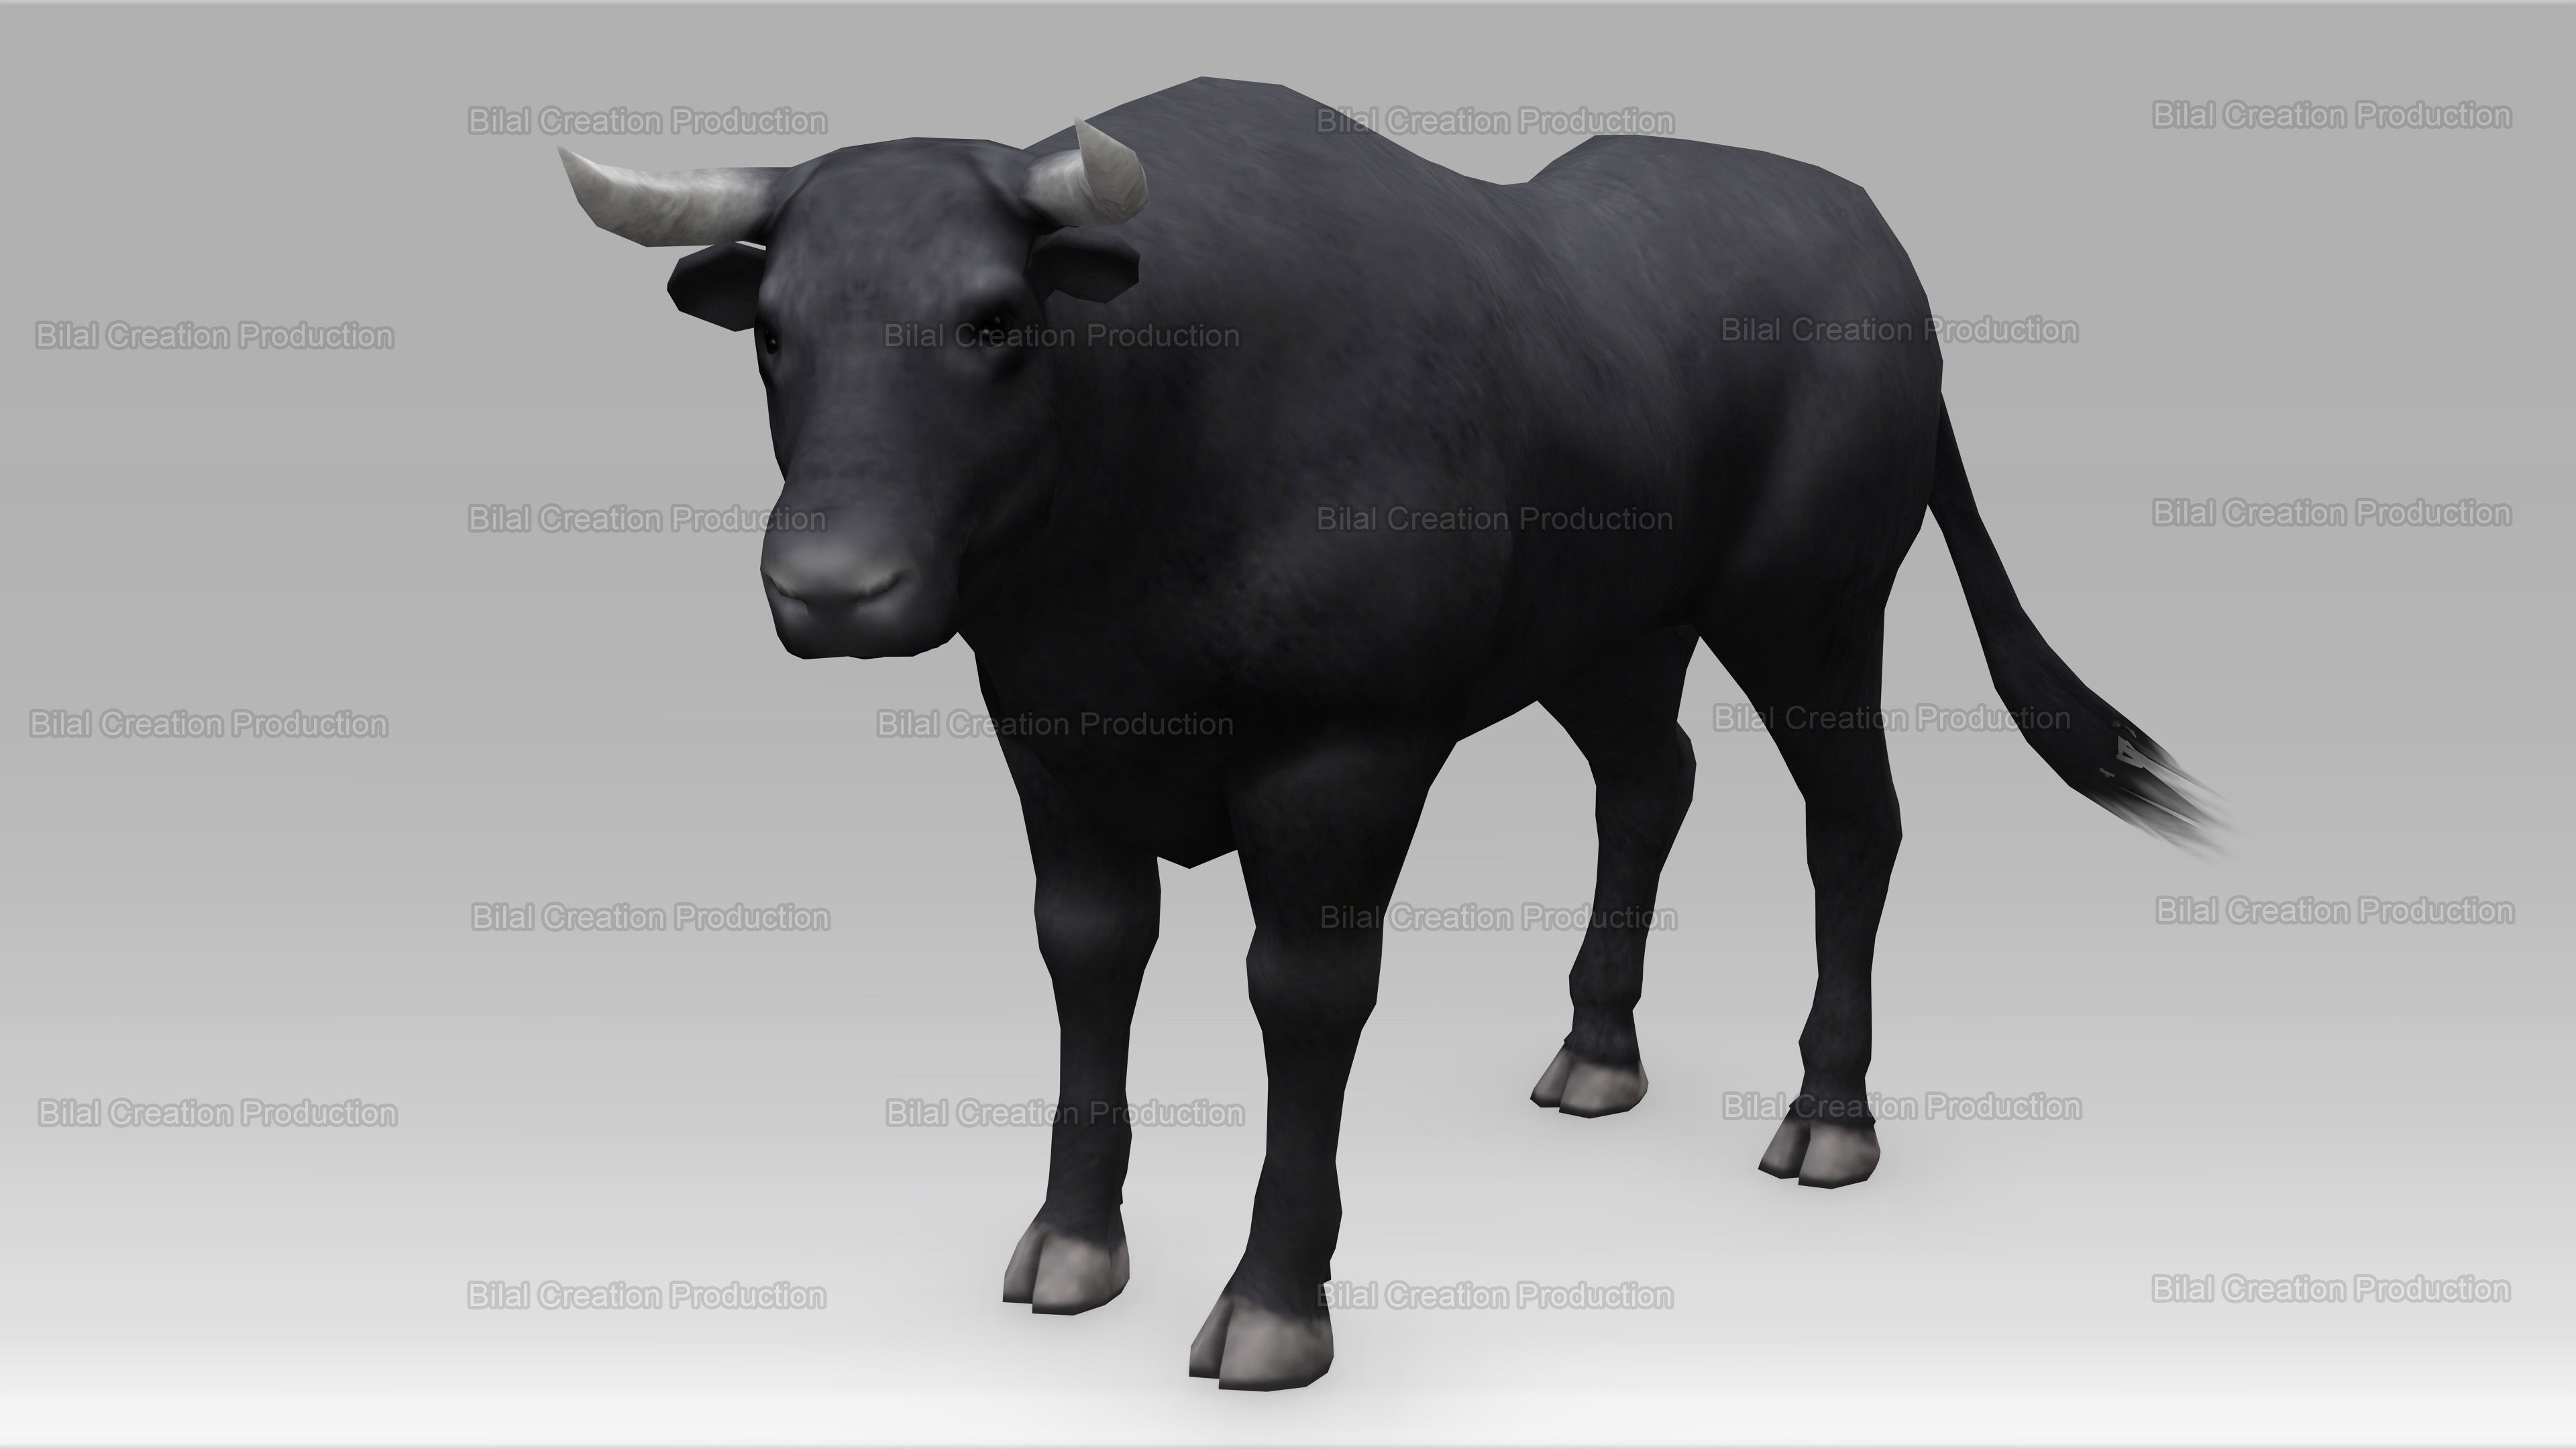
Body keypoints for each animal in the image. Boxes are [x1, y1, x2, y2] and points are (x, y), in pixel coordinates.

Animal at [558, 76, 2210, 1390]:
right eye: (775, 335)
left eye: (995, 317)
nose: (833, 589)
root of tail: (1874, 242)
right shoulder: (1054, 746)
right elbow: (1089, 957)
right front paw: (1073, 1239)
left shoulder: (1341, 765)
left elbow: (1303, 997)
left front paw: (1275, 1305)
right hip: (1616, 631)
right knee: (1650, 782)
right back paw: (1596, 1049)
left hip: (1812, 606)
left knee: (1854, 823)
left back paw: (1828, 1116)